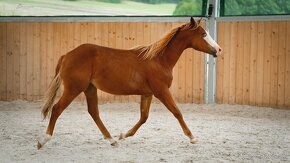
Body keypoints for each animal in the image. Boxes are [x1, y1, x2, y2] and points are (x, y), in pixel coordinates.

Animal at [37, 17, 221, 149]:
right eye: (203, 34)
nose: (218, 50)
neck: (159, 60)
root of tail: (67, 55)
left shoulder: (148, 94)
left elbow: (144, 117)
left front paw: (123, 135)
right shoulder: (161, 91)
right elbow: (177, 112)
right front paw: (192, 138)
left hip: (89, 88)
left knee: (93, 112)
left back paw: (112, 140)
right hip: (74, 88)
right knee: (57, 109)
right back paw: (42, 141)